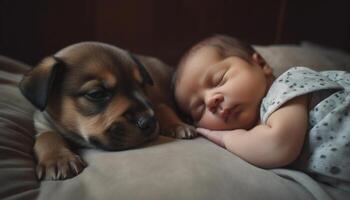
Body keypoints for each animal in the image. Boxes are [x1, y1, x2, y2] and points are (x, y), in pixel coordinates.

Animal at [19, 41, 196, 180]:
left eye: (142, 85)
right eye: (96, 94)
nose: (149, 123)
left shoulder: (154, 100)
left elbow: (162, 109)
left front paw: (178, 125)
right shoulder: (43, 124)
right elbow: (47, 137)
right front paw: (58, 158)